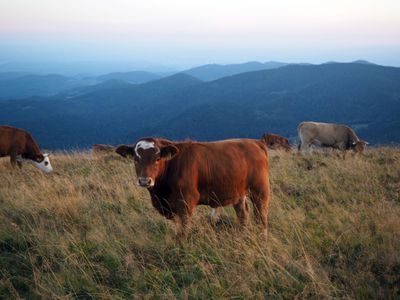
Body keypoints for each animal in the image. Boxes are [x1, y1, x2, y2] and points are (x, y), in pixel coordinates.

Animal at [117, 138, 270, 237]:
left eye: (157, 159)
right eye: (136, 159)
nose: (144, 181)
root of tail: (255, 142)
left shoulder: (186, 201)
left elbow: (183, 231)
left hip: (259, 191)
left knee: (261, 216)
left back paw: (262, 236)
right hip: (238, 193)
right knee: (243, 214)